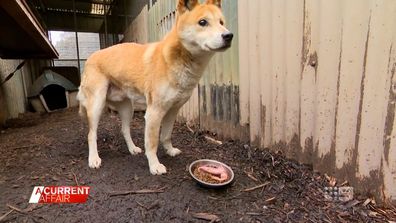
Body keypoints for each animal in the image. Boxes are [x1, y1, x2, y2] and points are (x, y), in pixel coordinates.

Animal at [77, 0, 232, 174]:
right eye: (203, 22)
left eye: (221, 22)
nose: (229, 36)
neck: (178, 60)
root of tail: (90, 58)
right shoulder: (154, 112)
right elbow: (152, 143)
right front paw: (154, 165)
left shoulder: (173, 110)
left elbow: (166, 135)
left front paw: (170, 150)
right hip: (97, 105)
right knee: (91, 134)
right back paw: (94, 159)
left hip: (127, 109)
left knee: (125, 130)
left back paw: (132, 149)